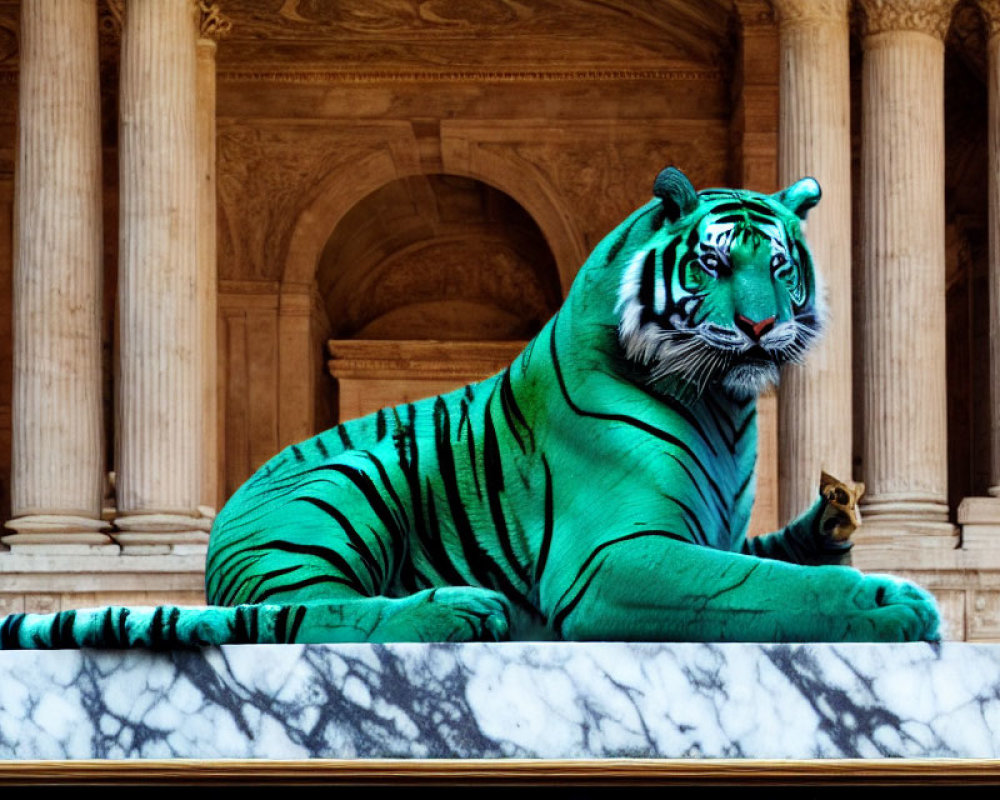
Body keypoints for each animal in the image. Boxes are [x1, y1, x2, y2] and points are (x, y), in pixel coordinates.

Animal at [0, 166, 936, 648]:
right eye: (711, 263)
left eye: (779, 266)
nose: (761, 327)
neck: (721, 408)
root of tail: (222, 524)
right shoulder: (611, 560)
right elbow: (761, 585)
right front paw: (891, 601)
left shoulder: (701, 528)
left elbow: (771, 552)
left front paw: (834, 519)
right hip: (349, 480)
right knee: (300, 614)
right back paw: (454, 609)